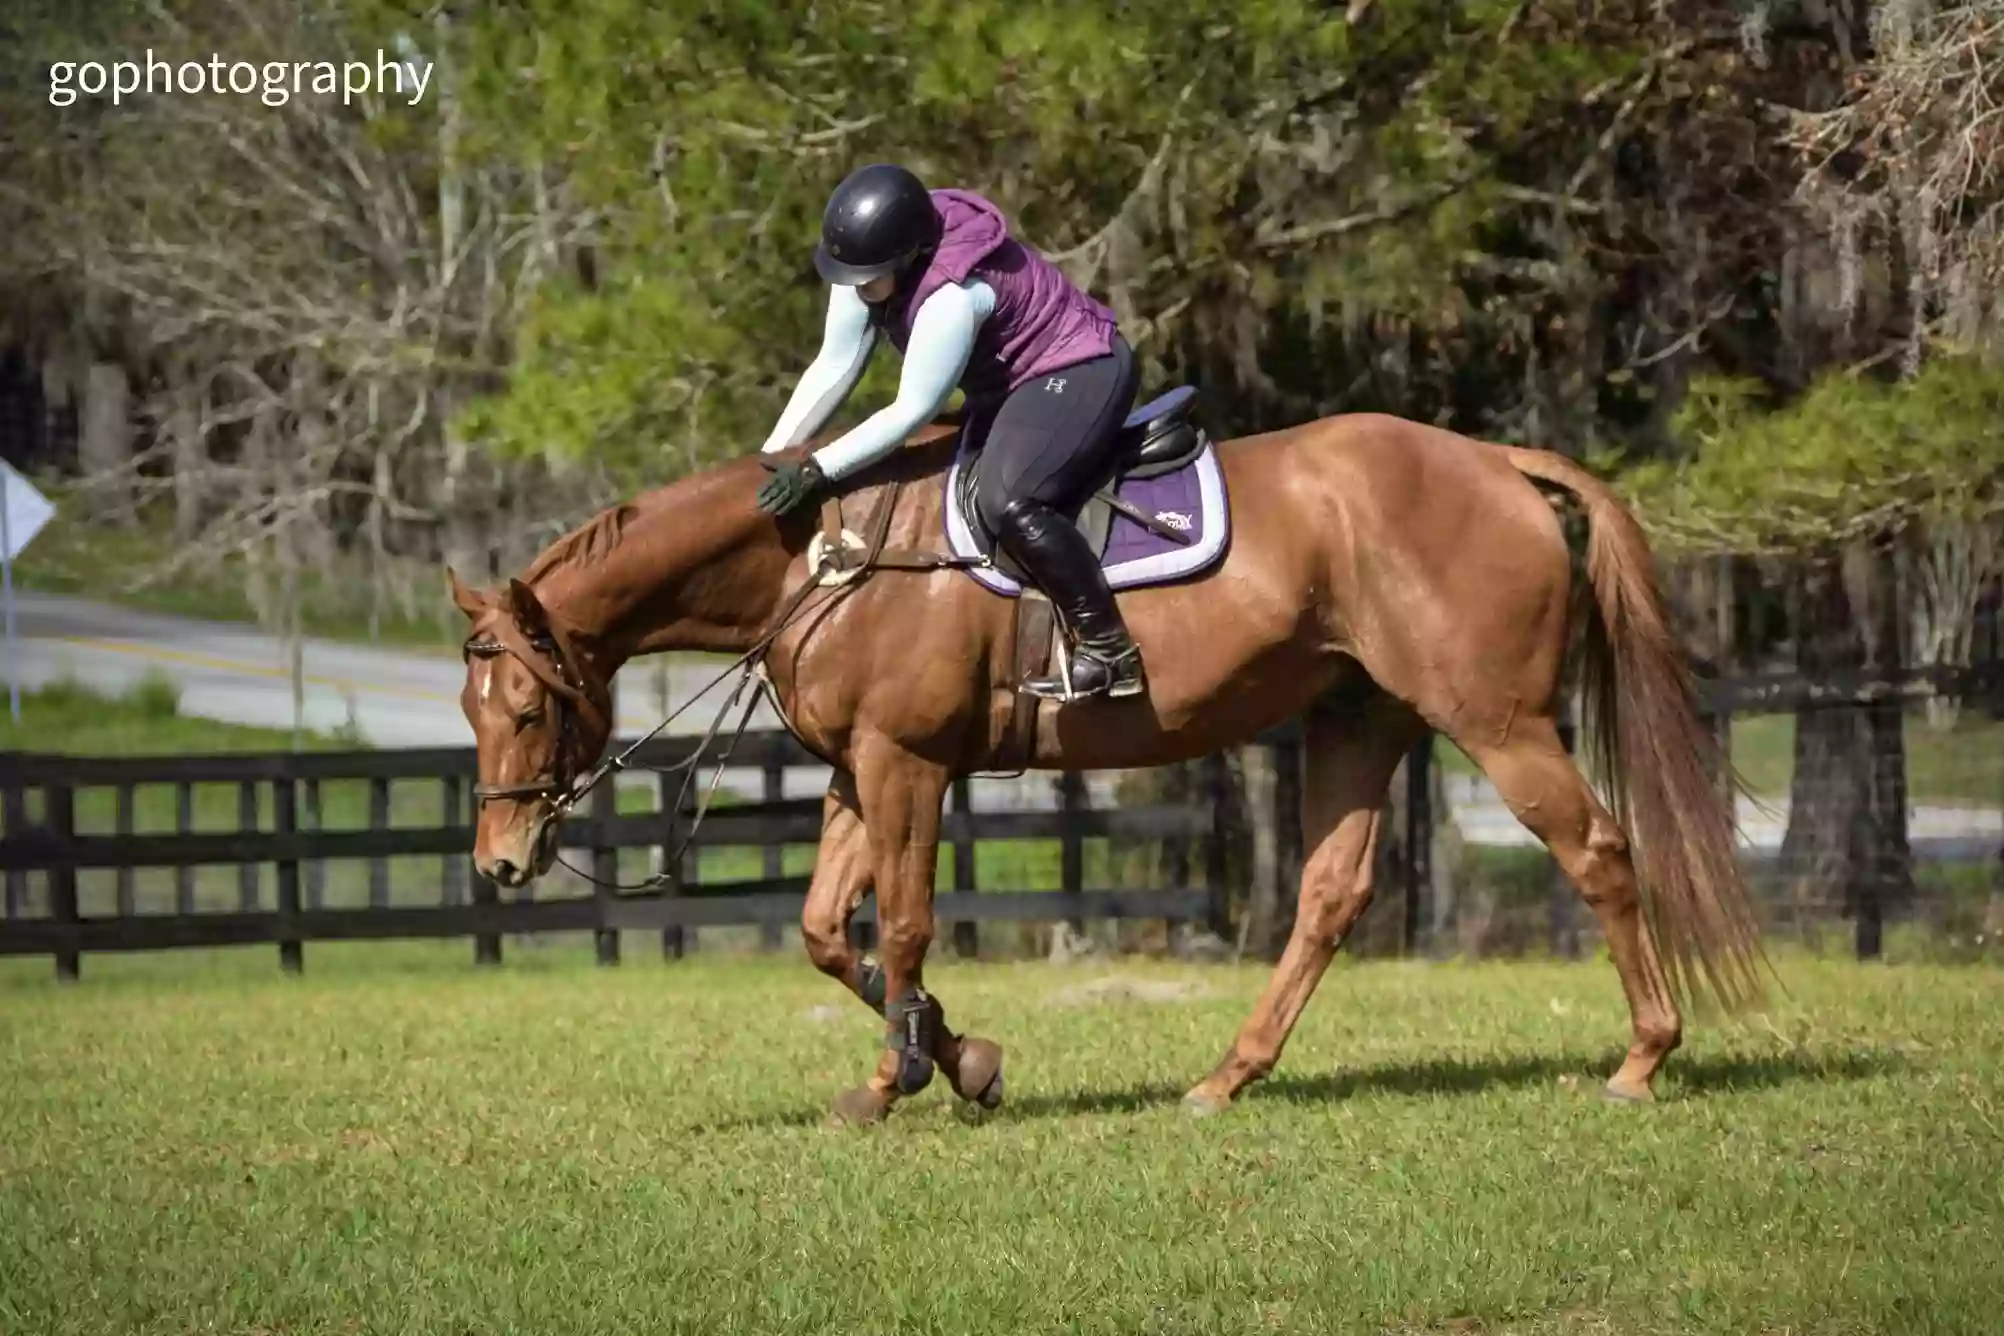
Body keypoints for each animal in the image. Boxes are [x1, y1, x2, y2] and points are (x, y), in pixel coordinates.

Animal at [450, 410, 1771, 1129]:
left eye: (526, 702)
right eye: (470, 706)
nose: (502, 862)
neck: (823, 555)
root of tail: (1497, 462)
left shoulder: (907, 766)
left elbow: (908, 926)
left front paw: (916, 1073)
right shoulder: (855, 774)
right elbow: (831, 932)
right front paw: (954, 1062)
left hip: (1495, 720)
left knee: (1597, 850)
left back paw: (1642, 1060)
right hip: (1362, 719)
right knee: (1329, 896)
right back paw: (1226, 1079)